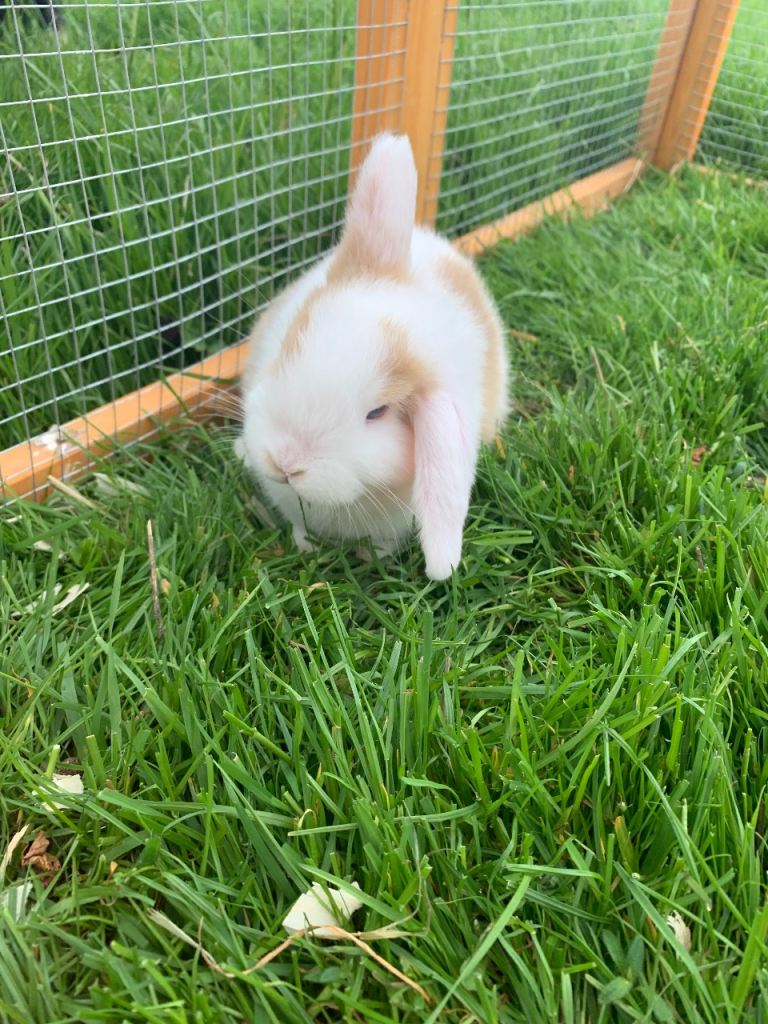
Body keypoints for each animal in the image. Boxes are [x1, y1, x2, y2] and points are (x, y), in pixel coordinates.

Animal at [237, 133, 509, 580]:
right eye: (293, 341)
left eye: (377, 413)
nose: (286, 463)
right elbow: (298, 527)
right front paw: (304, 545)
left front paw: (373, 559)